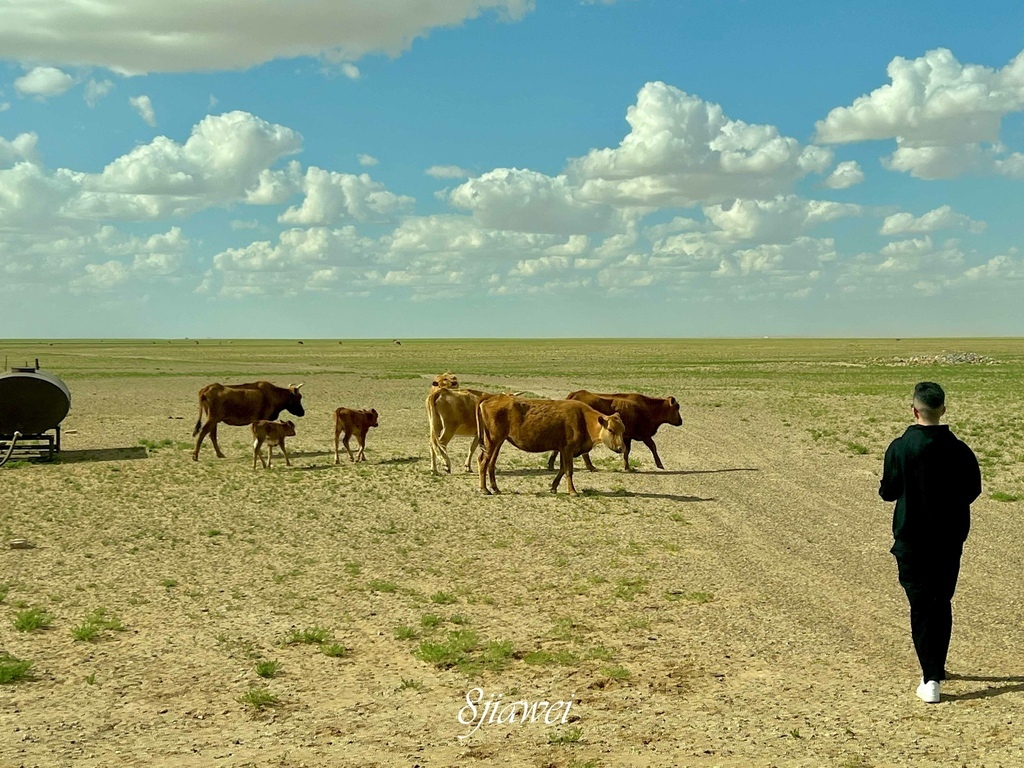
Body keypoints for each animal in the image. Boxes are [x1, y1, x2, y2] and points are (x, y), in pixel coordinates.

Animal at [475, 397, 626, 499]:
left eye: (622, 430)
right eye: (611, 430)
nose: (621, 448)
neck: (583, 419)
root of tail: (487, 401)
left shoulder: (563, 450)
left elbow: (562, 469)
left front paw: (553, 487)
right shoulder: (568, 450)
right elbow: (569, 470)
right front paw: (572, 491)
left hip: (499, 441)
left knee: (491, 463)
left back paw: (495, 488)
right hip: (492, 441)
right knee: (483, 461)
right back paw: (484, 489)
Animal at [544, 393, 679, 473]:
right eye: (676, 408)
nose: (680, 421)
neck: (647, 407)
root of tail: (575, 395)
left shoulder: (627, 437)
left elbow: (626, 451)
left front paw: (627, 466)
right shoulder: (645, 435)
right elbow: (653, 447)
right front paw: (660, 464)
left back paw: (551, 465)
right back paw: (590, 467)